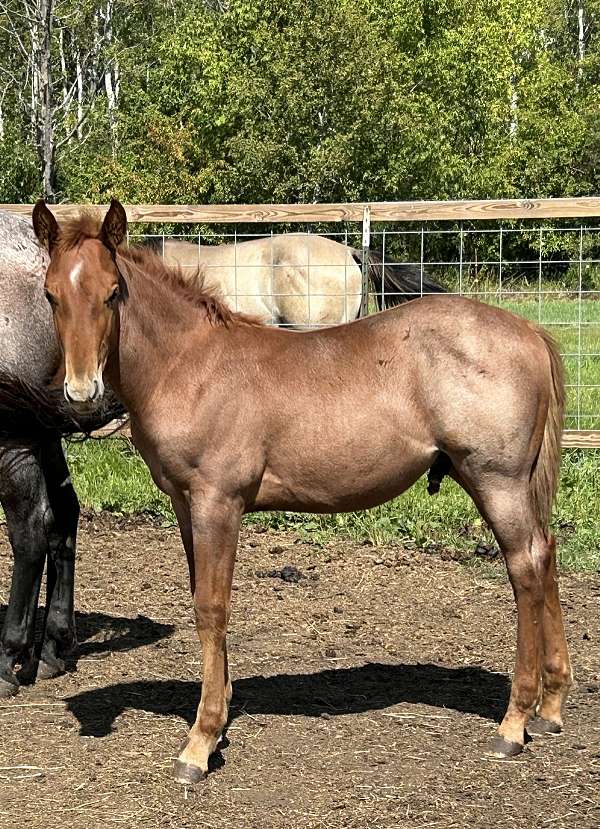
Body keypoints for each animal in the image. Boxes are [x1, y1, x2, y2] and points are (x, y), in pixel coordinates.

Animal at [0, 209, 123, 698]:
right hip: (44, 431)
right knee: (64, 515)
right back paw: (50, 645)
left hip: (14, 439)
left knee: (32, 529)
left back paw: (9, 656)